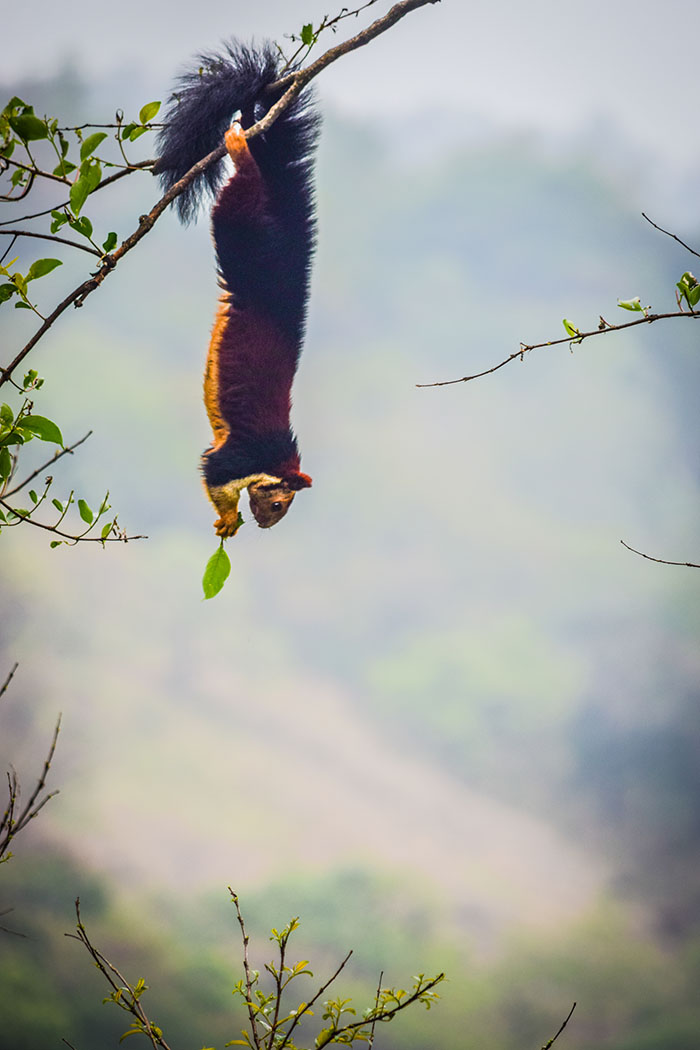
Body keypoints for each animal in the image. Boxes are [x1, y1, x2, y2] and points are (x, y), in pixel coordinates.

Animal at [155, 43, 320, 537]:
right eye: (280, 503)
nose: (267, 526)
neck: (276, 461)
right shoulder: (243, 455)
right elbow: (214, 472)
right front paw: (228, 522)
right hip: (242, 227)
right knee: (240, 192)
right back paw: (239, 145)